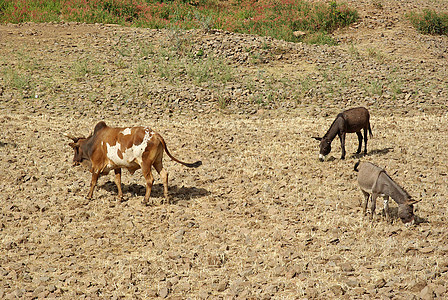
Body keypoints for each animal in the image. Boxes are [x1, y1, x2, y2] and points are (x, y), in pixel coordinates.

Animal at [66, 120, 201, 205]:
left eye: (75, 149)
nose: (73, 162)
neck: (93, 143)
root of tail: (156, 135)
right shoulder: (117, 166)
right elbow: (118, 181)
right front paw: (120, 197)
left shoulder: (97, 166)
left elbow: (93, 182)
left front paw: (88, 196)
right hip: (157, 162)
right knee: (164, 175)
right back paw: (166, 198)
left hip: (145, 164)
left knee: (150, 180)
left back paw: (145, 201)